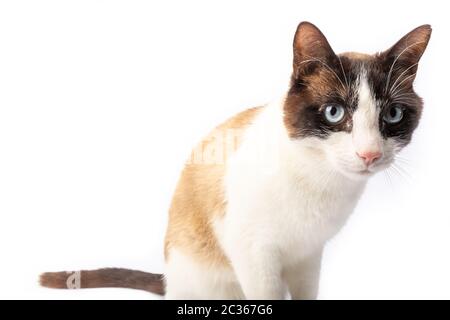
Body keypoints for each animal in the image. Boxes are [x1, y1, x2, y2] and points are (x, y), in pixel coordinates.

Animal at [41, 22, 432, 300]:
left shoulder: (308, 256)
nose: (369, 153)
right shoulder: (255, 255)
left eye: (393, 115)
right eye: (334, 113)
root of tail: (168, 277)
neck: (321, 180)